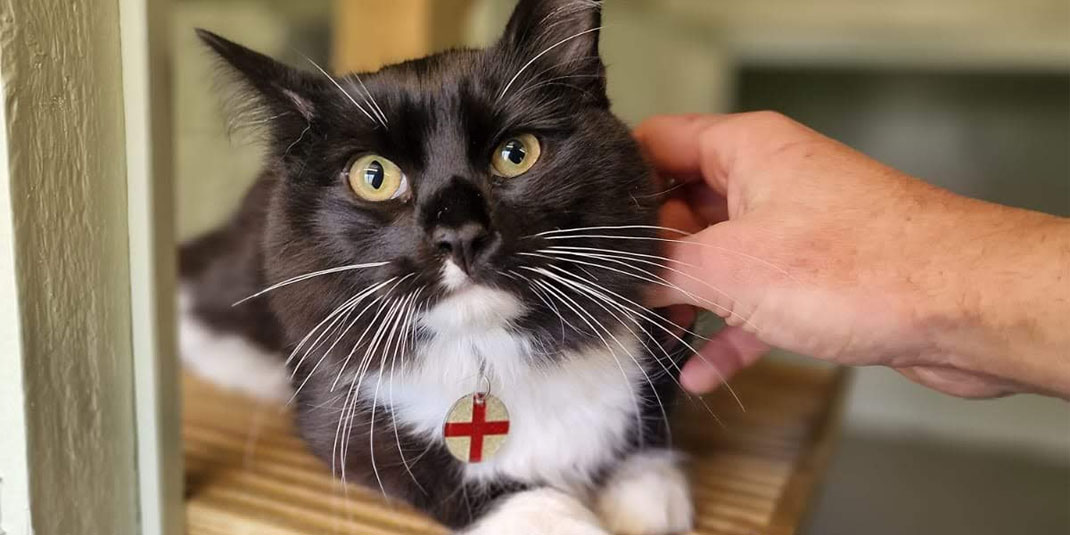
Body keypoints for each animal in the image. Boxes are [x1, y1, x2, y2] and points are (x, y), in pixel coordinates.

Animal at [179, 2, 697, 532]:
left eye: (516, 153)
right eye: (374, 176)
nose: (460, 236)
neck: (487, 352)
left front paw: (645, 494)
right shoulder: (344, 409)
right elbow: (418, 465)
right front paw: (556, 515)